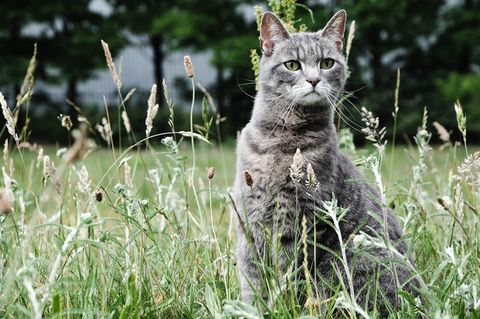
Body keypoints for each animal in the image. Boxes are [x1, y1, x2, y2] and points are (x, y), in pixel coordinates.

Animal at [232, 8, 416, 314]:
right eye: (292, 65)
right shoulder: (250, 221)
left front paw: (285, 305)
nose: (314, 80)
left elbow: (288, 273)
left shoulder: (301, 221)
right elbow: (253, 277)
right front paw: (257, 308)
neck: (281, 142)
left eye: (327, 63)